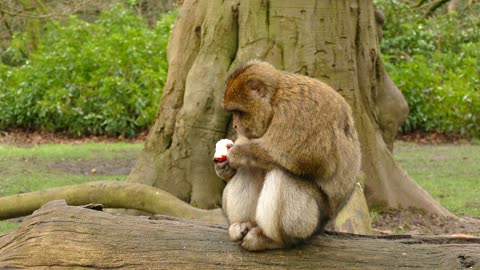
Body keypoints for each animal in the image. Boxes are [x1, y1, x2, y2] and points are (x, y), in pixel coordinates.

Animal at [214, 60, 360, 252]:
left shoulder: (298, 110)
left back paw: (273, 240)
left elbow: (312, 158)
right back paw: (243, 224)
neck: (275, 100)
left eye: (239, 112)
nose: (235, 125)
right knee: (251, 168)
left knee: (282, 174)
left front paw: (237, 153)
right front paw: (224, 169)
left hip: (311, 222)